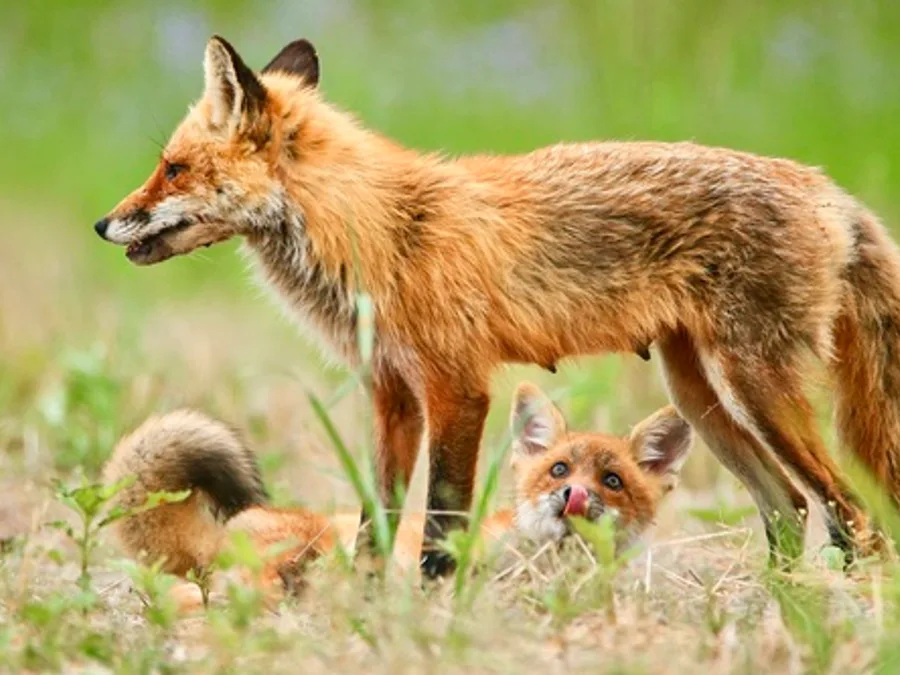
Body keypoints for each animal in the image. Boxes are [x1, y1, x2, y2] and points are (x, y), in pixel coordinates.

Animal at [94, 34, 900, 573]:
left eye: (172, 169)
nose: (103, 223)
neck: (379, 232)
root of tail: (827, 188)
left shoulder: (459, 387)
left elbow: (440, 527)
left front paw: (433, 615)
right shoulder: (391, 395)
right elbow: (377, 522)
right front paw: (365, 609)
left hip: (758, 389)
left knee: (855, 517)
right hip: (699, 396)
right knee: (794, 510)